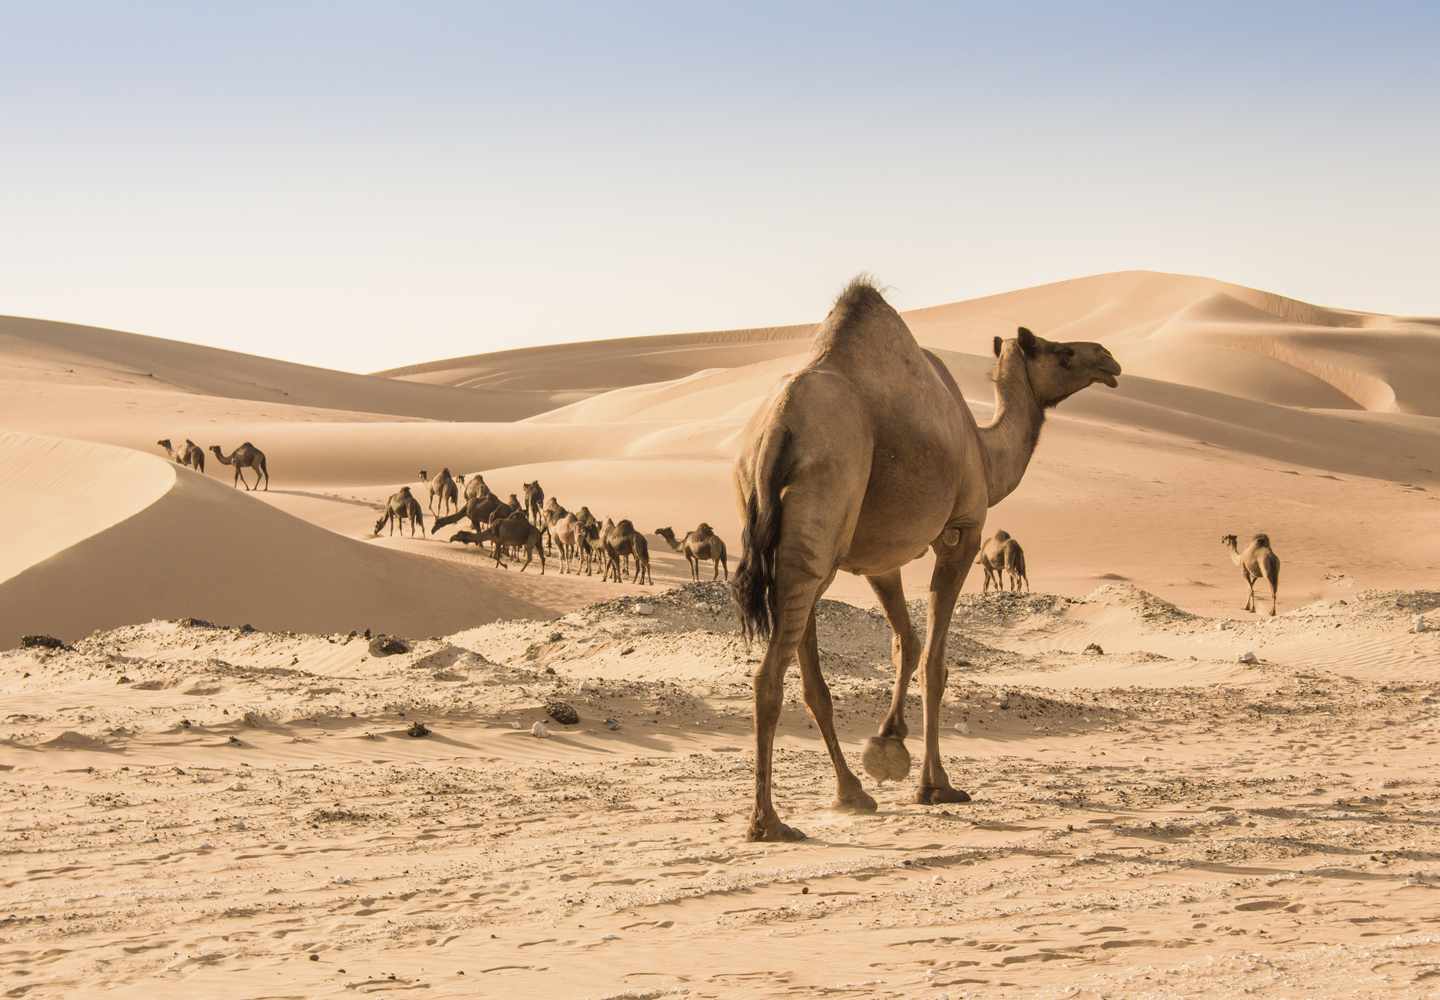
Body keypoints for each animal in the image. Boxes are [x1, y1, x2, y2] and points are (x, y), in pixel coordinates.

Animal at [729, 278, 1120, 841]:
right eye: (1061, 351)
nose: (1108, 358)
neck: (985, 450)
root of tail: (777, 430)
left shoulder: (878, 560)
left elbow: (906, 644)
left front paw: (887, 745)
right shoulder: (962, 532)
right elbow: (935, 660)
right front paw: (935, 784)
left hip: (798, 545)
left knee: (808, 679)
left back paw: (850, 794)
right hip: (821, 518)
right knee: (769, 676)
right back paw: (769, 822)